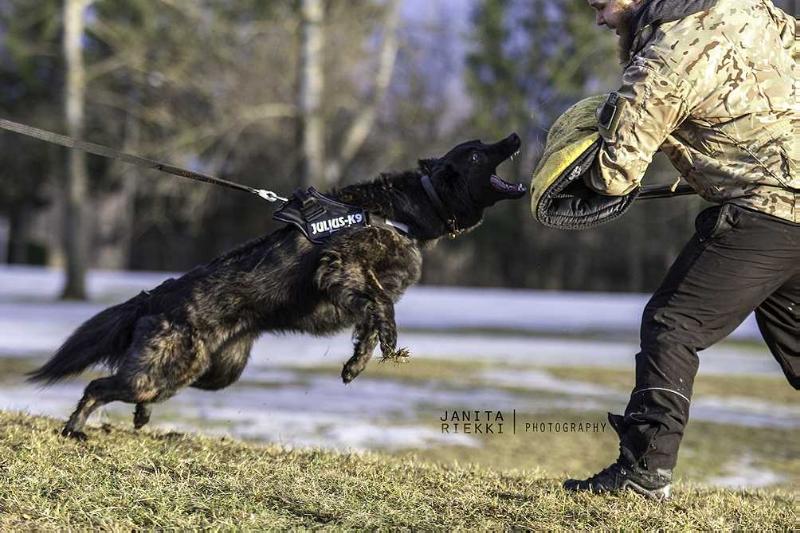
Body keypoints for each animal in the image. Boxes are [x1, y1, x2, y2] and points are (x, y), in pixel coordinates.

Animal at [28, 131, 524, 438]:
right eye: (476, 153)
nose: (516, 138)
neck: (406, 209)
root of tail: (155, 296)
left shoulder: (354, 288)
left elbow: (367, 322)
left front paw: (357, 363)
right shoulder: (341, 267)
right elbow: (383, 306)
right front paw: (389, 344)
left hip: (207, 373)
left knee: (137, 390)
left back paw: (140, 416)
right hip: (163, 369)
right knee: (98, 386)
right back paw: (74, 429)